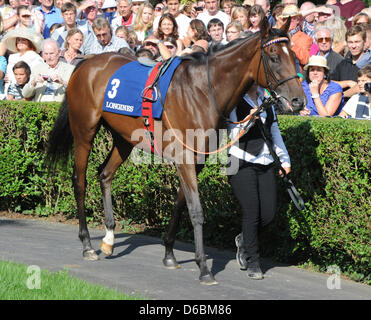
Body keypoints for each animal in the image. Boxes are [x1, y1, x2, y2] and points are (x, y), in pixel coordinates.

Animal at [46, 20, 306, 284]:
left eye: (294, 56)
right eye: (274, 57)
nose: (299, 101)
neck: (202, 91)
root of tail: (85, 64)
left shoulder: (197, 159)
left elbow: (181, 203)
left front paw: (169, 253)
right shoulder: (185, 158)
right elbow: (196, 210)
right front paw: (204, 268)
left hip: (124, 138)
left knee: (105, 174)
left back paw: (108, 239)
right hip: (84, 133)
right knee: (80, 182)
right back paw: (87, 244)